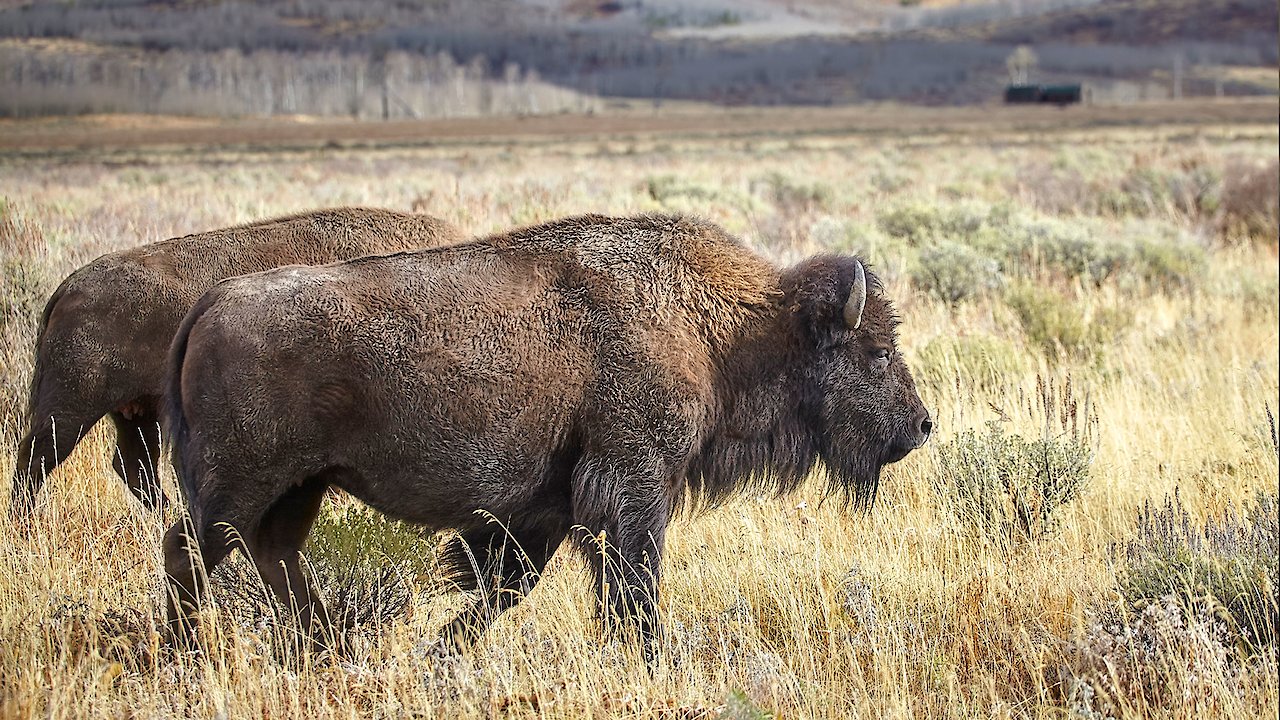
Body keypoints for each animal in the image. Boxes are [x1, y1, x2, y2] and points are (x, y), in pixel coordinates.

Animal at [162, 213, 931, 659]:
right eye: (874, 352)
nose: (922, 425)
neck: (718, 328)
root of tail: (214, 302)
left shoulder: (549, 508)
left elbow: (510, 586)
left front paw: (439, 654)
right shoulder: (634, 481)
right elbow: (633, 580)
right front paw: (650, 658)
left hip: (298, 488)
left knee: (272, 557)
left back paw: (327, 652)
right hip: (241, 485)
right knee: (191, 552)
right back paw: (184, 658)